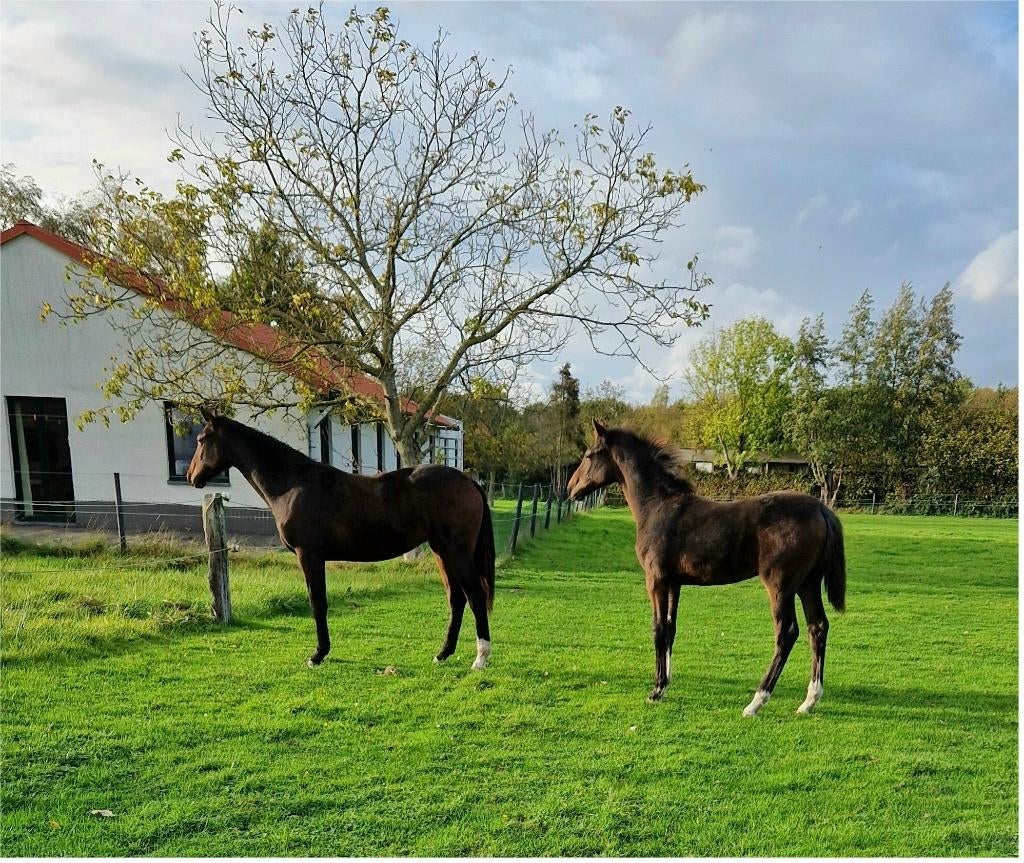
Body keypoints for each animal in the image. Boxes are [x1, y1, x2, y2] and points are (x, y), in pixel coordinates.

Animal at [186, 408, 495, 671]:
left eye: (201, 439)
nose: (190, 476)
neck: (292, 485)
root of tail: (469, 481)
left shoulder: (309, 555)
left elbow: (317, 603)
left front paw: (317, 655)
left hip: (456, 552)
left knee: (475, 596)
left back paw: (480, 658)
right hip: (441, 551)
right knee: (456, 599)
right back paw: (442, 654)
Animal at [567, 420, 846, 716]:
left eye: (589, 455)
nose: (571, 489)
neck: (657, 506)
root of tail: (821, 510)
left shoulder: (656, 580)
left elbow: (658, 629)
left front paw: (656, 690)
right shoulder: (674, 582)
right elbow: (671, 628)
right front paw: (666, 682)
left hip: (781, 585)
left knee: (787, 632)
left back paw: (756, 702)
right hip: (808, 583)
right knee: (817, 627)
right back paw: (809, 701)